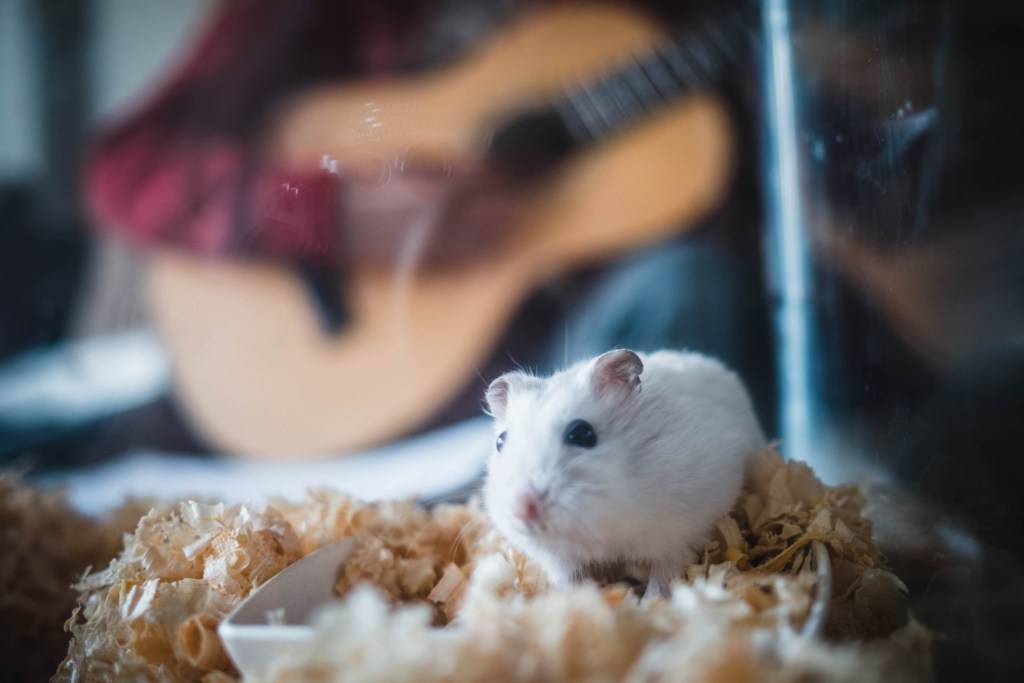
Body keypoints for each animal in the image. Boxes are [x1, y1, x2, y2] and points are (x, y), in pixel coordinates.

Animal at [483, 350, 765, 593]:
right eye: (500, 441)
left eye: (582, 433)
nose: (522, 509)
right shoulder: (560, 561)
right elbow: (572, 583)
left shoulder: (682, 535)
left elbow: (664, 576)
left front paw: (650, 603)